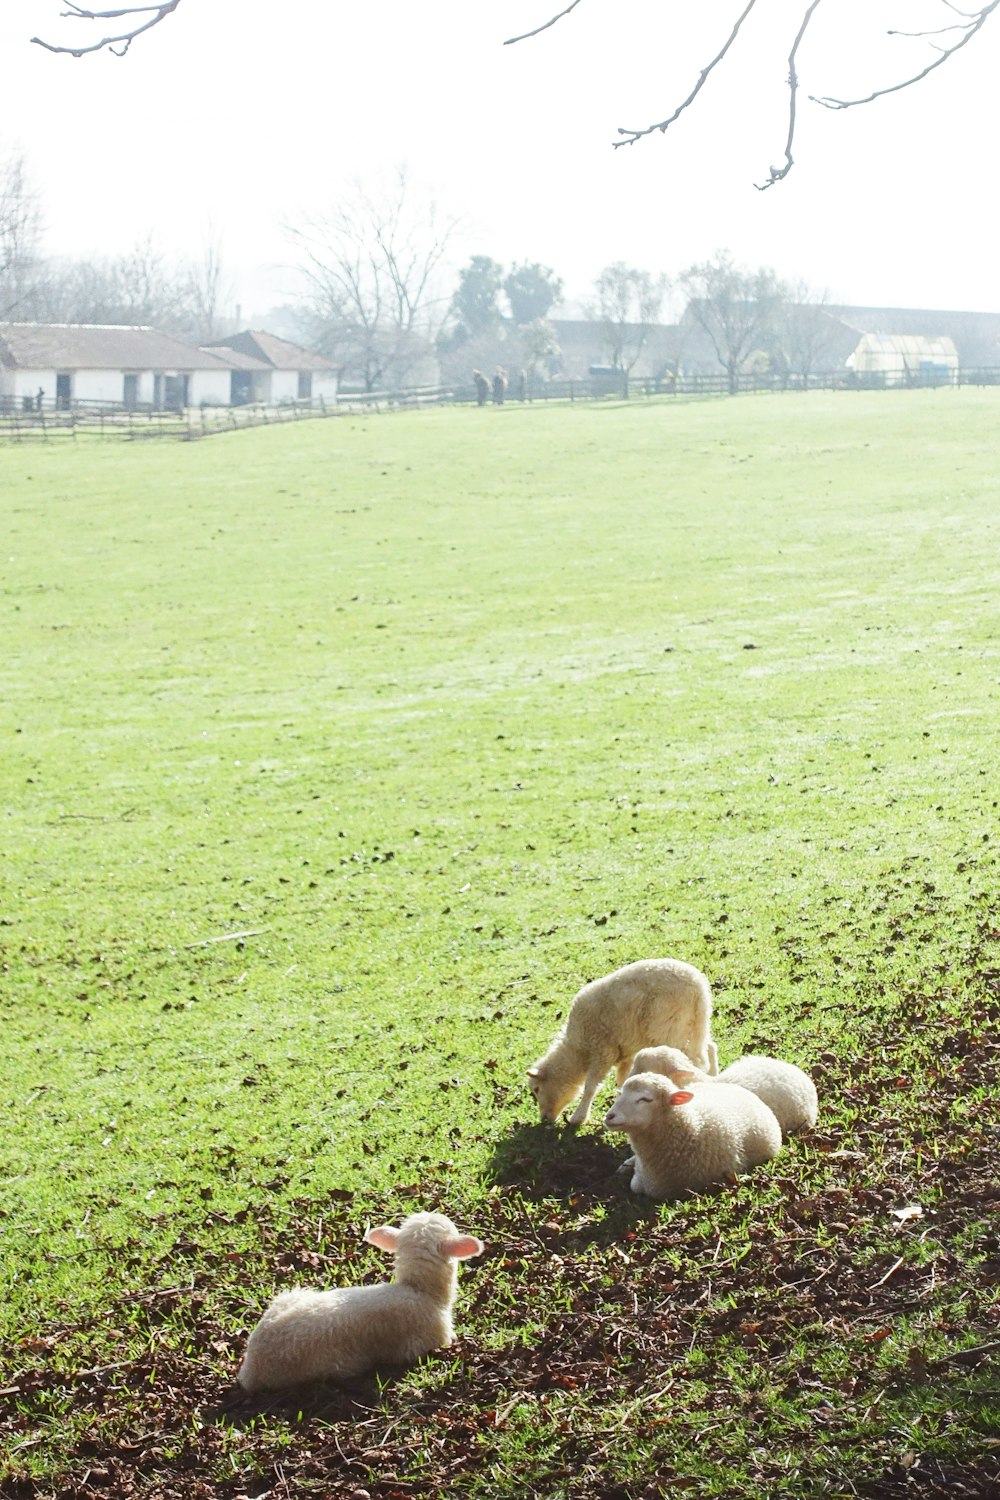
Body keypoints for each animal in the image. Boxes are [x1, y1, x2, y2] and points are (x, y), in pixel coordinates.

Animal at [527, 960, 716, 1128]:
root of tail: (698, 986)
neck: (578, 1050)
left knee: (692, 1062)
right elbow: (623, 1078)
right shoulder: (626, 1052)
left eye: (536, 1089)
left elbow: (590, 1086)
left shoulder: (603, 1049)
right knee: (709, 1048)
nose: (544, 1119)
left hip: (669, 1026)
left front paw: (578, 1117)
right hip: (695, 1022)